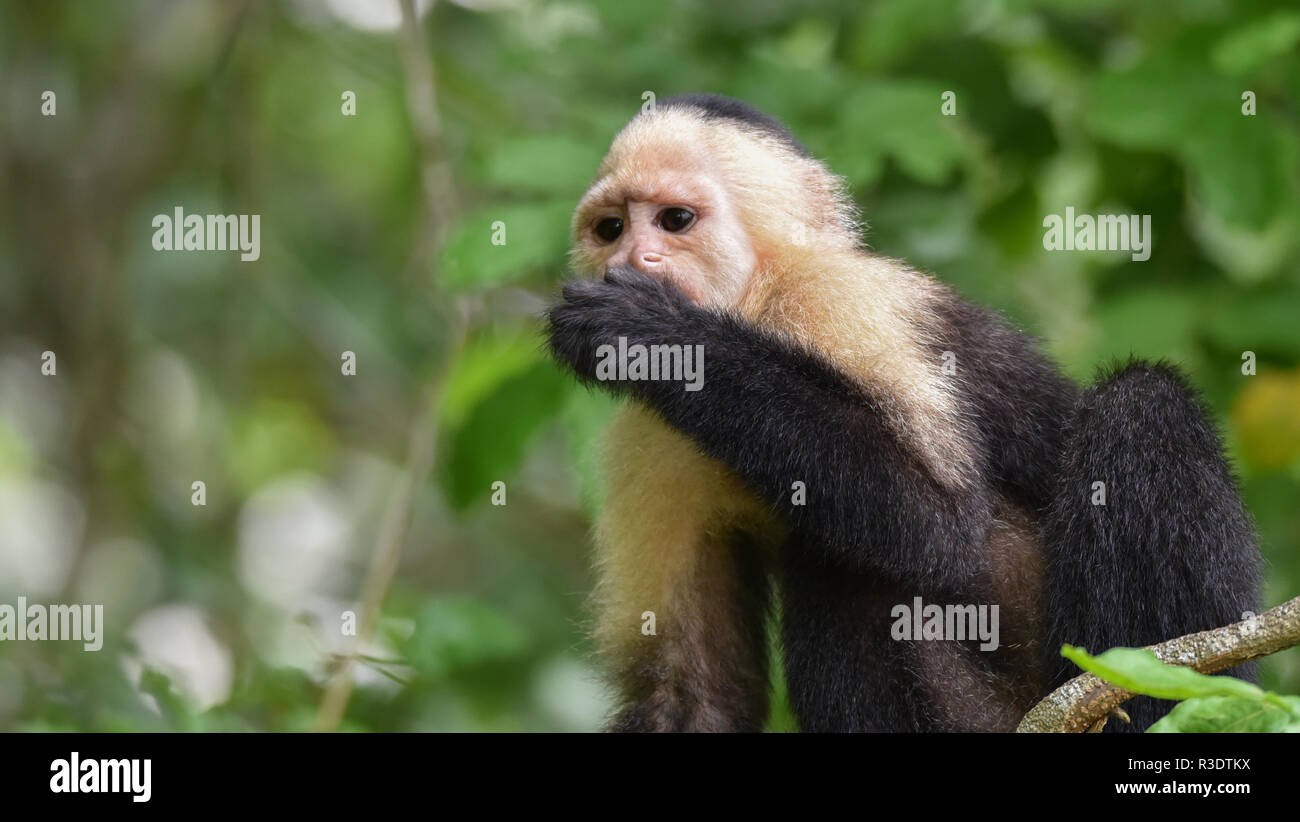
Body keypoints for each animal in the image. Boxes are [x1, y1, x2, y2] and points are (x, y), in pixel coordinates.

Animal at [546, 91, 1258, 733]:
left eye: (674, 220)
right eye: (610, 229)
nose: (630, 260)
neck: (752, 306)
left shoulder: (837, 302)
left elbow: (935, 523)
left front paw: (646, 330)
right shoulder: (646, 441)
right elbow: (688, 694)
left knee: (1139, 404)